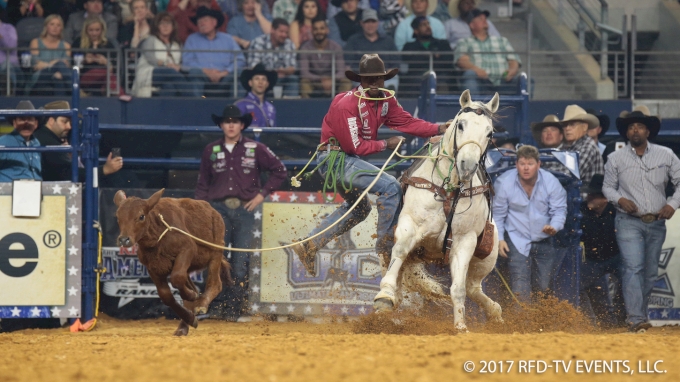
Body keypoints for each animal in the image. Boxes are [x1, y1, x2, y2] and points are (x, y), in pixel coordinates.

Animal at [114, 190, 234, 336]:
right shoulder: (153, 268)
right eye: (118, 217)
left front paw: (193, 297)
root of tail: (213, 211)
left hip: (216, 252)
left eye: (141, 216)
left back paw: (201, 304)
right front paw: (190, 317)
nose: (124, 239)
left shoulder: (187, 249)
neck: (158, 234)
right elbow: (166, 295)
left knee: (215, 283)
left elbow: (176, 278)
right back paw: (183, 326)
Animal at [374, 89, 502, 332]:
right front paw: (384, 296)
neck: (450, 187)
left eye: (490, 133)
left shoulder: (465, 241)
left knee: (472, 288)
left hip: (486, 258)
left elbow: (458, 289)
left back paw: (495, 314)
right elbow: (399, 251)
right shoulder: (409, 226)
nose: (467, 165)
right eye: (460, 125)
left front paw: (460, 326)